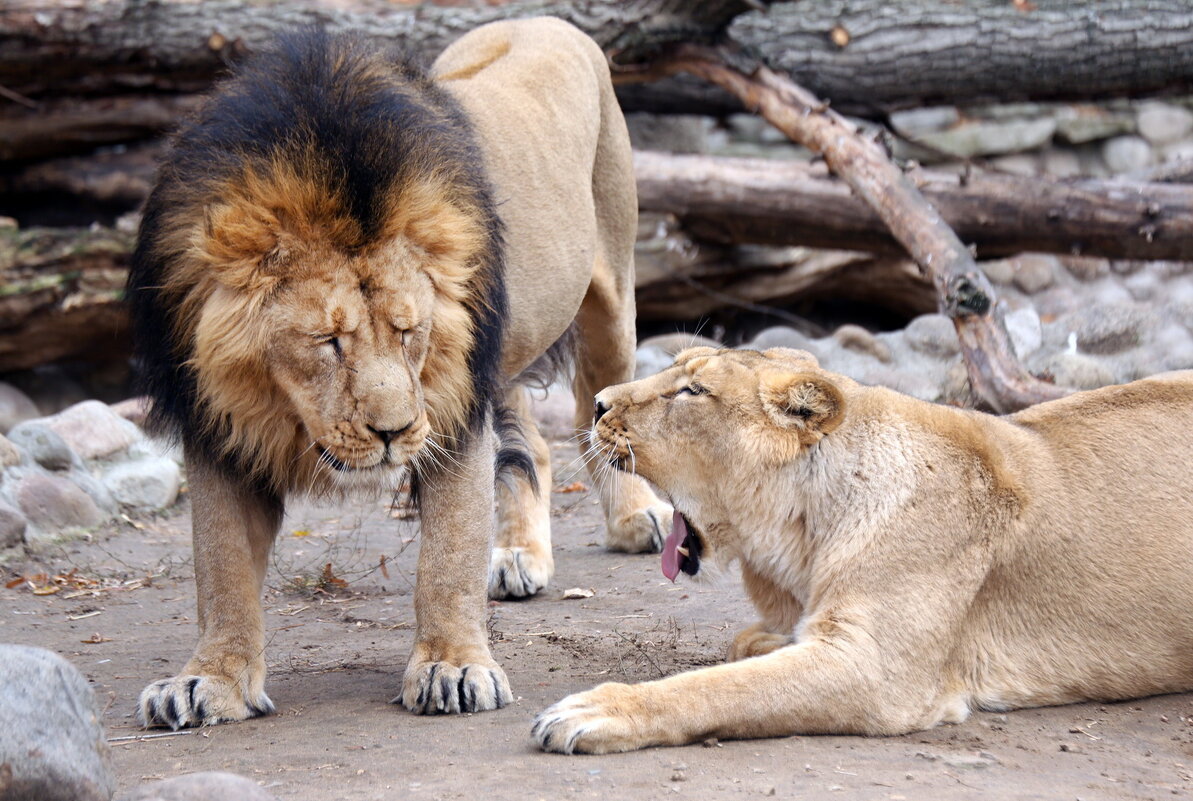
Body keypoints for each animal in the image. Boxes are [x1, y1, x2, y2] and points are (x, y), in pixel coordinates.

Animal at [130, 18, 672, 730]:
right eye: (328, 341)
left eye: (410, 331)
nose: (392, 434)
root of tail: (540, 20)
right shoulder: (217, 424)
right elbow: (220, 568)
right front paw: (209, 681)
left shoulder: (452, 403)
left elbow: (447, 558)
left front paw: (455, 668)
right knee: (531, 446)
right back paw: (518, 555)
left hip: (610, 296)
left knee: (601, 412)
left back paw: (638, 519)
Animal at [534, 348, 1193, 754]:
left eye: (692, 391)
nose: (598, 402)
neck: (802, 534)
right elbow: (743, 653)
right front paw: (767, 640)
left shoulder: (875, 670)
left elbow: (713, 688)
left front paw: (593, 711)